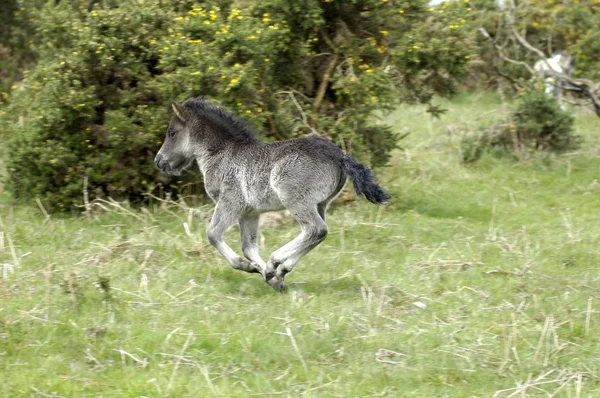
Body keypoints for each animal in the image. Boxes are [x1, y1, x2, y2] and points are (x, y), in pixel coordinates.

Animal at [155, 95, 390, 290]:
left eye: (172, 133)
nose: (159, 161)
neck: (220, 154)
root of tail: (339, 155)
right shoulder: (249, 213)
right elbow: (249, 247)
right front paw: (268, 276)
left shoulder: (231, 202)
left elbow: (213, 234)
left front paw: (252, 267)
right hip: (320, 204)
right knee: (317, 233)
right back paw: (279, 268)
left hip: (295, 199)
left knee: (316, 229)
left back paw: (276, 261)